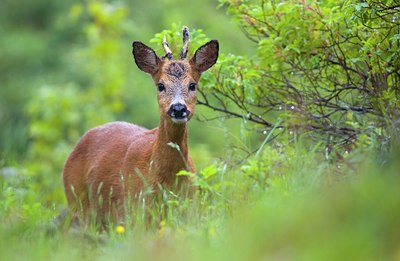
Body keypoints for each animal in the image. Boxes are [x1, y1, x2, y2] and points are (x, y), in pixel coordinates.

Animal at [62, 26, 219, 225]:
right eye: (160, 85)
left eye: (192, 85)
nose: (178, 108)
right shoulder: (133, 212)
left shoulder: (190, 208)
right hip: (78, 203)